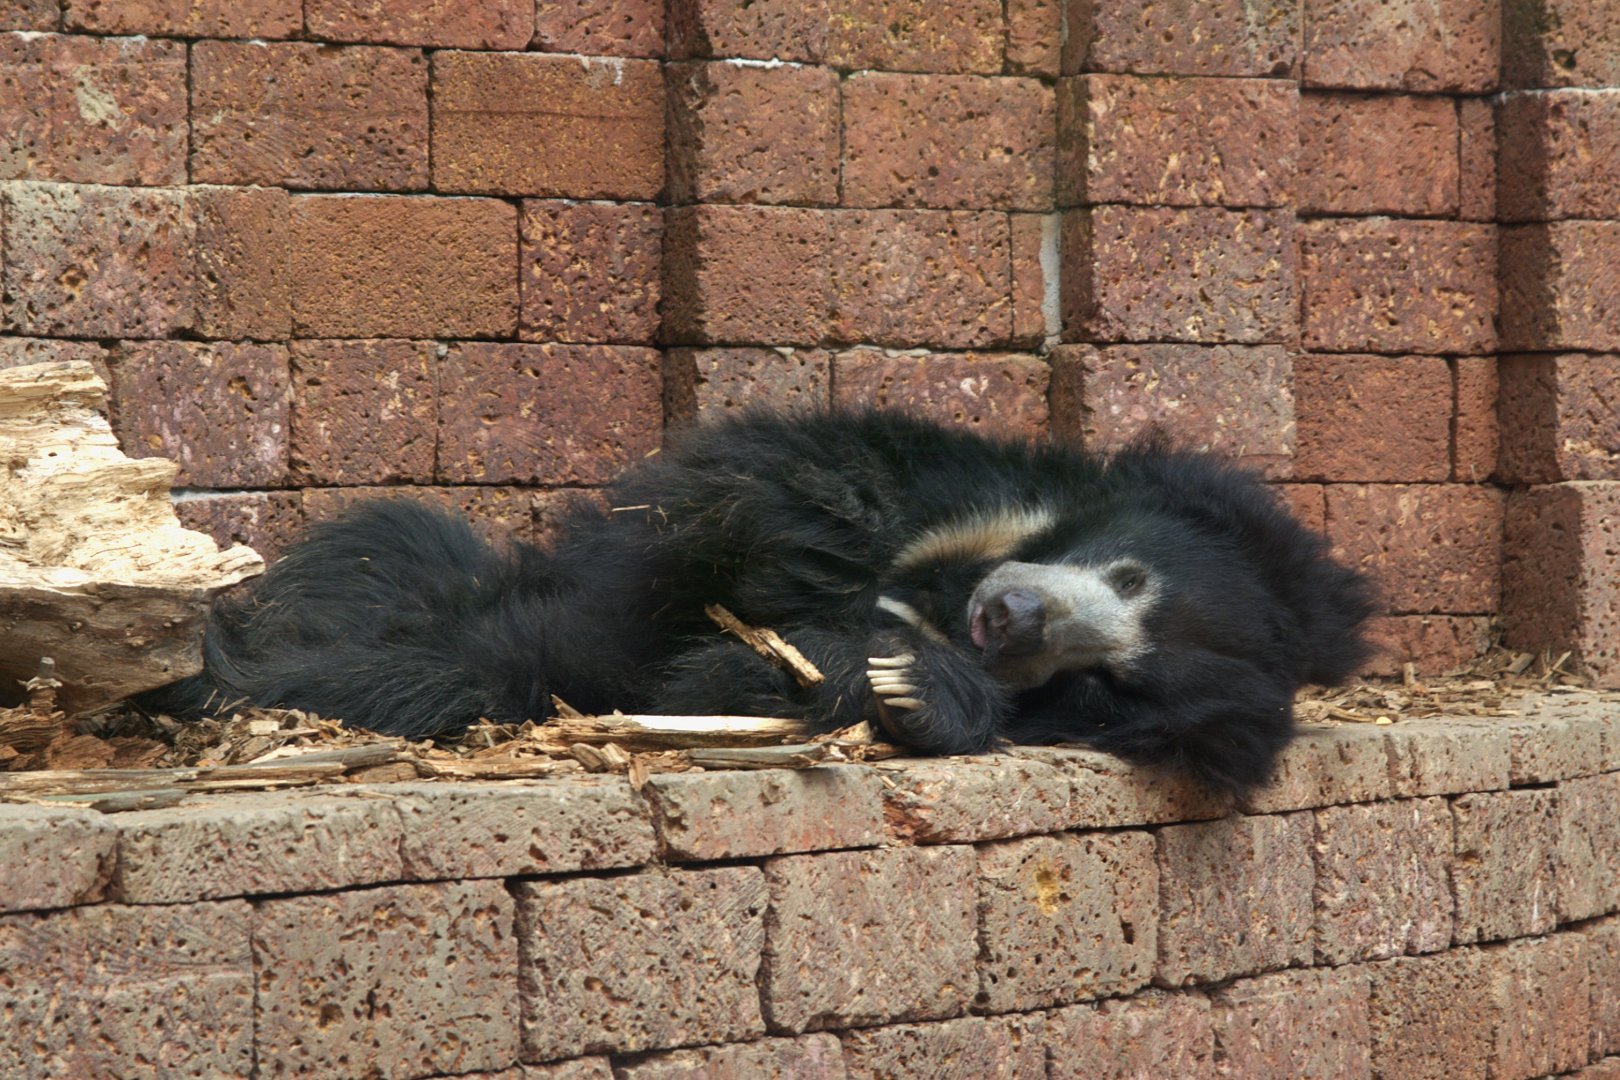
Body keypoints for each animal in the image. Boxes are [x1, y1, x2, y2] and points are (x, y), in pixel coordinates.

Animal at [151, 409, 1377, 793]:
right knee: (392, 562)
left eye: (1106, 682)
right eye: (1130, 576)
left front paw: (909, 684)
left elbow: (727, 670)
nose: (1013, 620)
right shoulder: (959, 491)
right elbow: (773, 497)